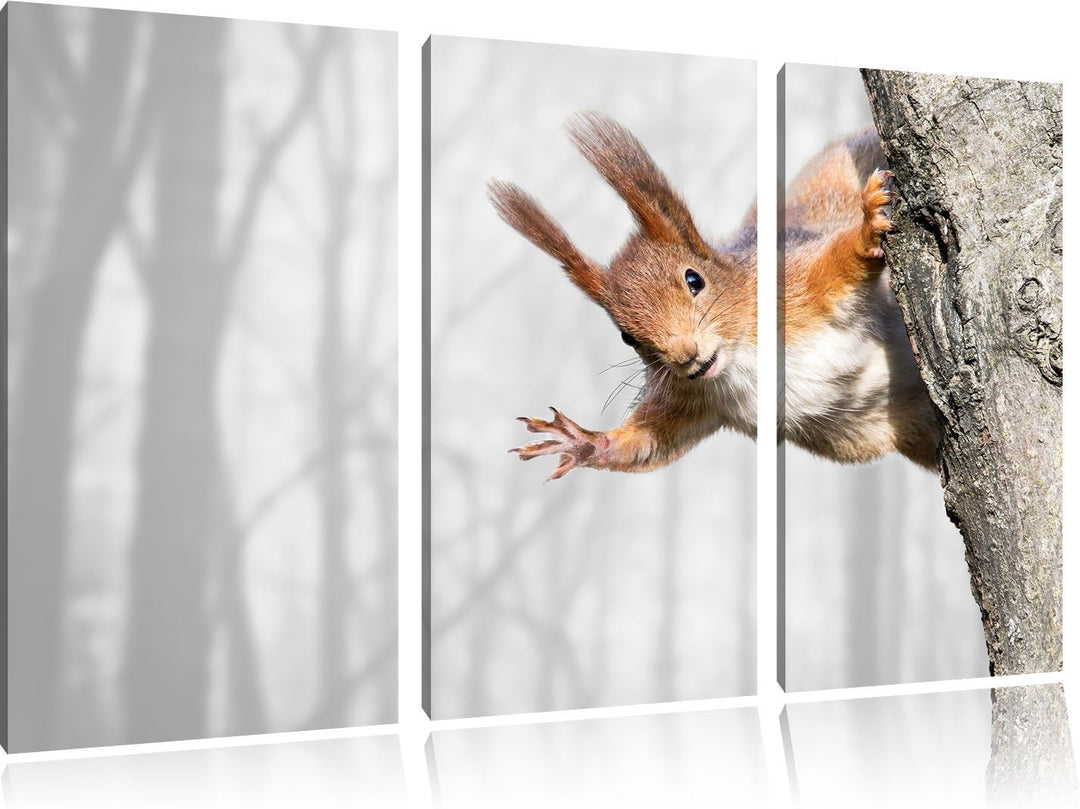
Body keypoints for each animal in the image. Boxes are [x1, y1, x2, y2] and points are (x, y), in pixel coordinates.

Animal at [489, 112, 940, 480]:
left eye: (694, 280)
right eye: (626, 337)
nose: (685, 356)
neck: (742, 356)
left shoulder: (797, 285)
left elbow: (838, 262)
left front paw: (867, 228)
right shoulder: (693, 398)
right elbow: (649, 442)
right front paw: (582, 441)